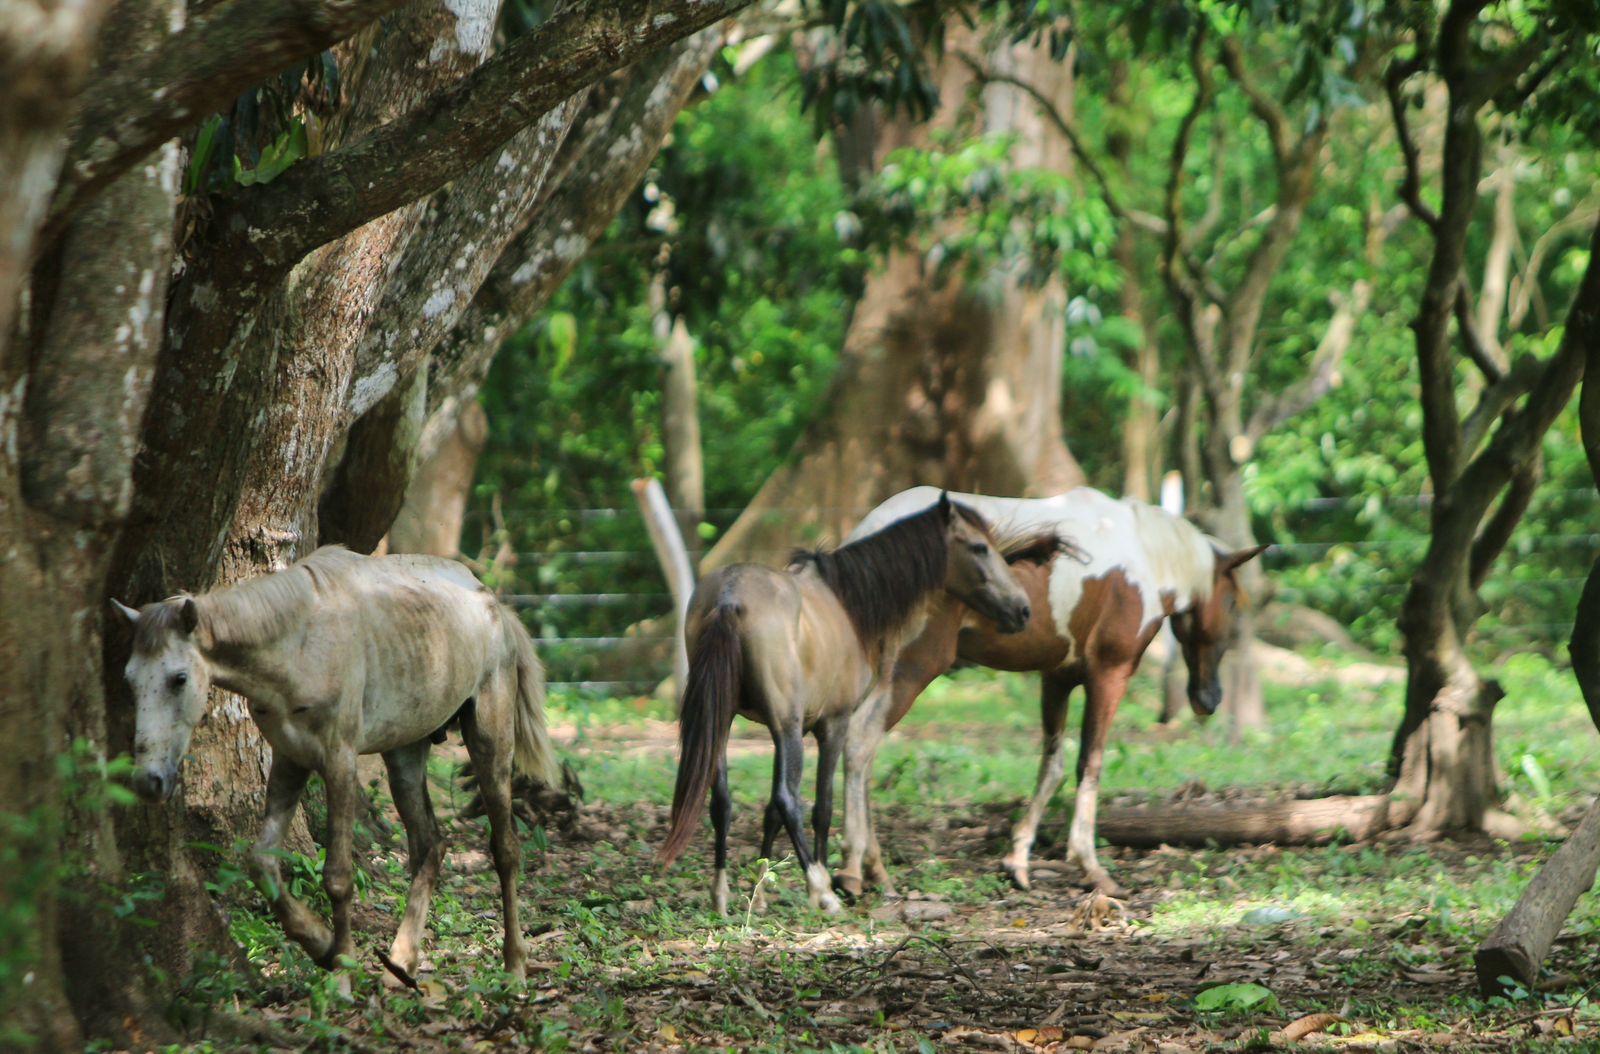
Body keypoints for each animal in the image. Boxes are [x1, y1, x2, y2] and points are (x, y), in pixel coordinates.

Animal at [116, 546, 560, 985]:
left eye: (178, 678)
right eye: (130, 680)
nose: (148, 781)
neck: (299, 644)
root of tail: (493, 604)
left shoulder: (339, 762)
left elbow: (338, 876)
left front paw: (343, 972)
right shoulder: (290, 760)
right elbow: (261, 864)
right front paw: (321, 945)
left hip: (490, 742)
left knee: (505, 849)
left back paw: (514, 968)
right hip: (404, 754)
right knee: (430, 844)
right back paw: (400, 962)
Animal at [656, 495, 1056, 914]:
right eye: (979, 548)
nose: (1023, 609)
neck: (847, 604)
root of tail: (730, 596)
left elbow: (768, 814)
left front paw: (759, 893)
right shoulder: (832, 725)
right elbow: (821, 806)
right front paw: (820, 883)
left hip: (722, 721)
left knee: (722, 802)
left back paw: (720, 895)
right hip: (785, 728)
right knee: (788, 800)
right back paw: (821, 890)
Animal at [838, 486, 1260, 902]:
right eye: (1231, 603)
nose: (1209, 699)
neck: (1143, 555)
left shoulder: (1058, 678)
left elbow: (1052, 768)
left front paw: (1018, 861)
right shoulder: (1110, 673)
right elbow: (1090, 763)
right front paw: (1090, 866)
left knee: (863, 750)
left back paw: (875, 870)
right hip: (914, 668)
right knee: (862, 740)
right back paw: (854, 870)